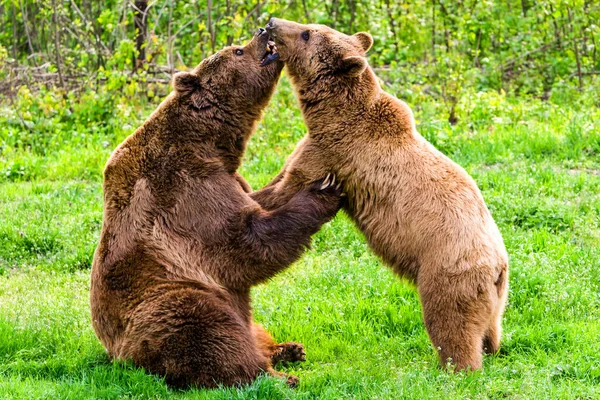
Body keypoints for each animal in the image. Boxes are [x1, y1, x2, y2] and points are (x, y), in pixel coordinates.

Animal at [89, 28, 342, 390]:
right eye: (236, 50)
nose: (261, 31)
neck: (209, 142)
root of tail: (118, 357)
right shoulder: (184, 189)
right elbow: (246, 240)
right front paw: (324, 189)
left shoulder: (229, 176)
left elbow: (261, 200)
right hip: (166, 300)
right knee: (209, 331)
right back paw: (277, 376)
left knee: (251, 329)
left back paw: (288, 349)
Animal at [252, 20, 506, 372]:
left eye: (306, 33)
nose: (272, 22)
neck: (330, 114)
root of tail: (499, 266)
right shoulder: (313, 143)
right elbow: (278, 179)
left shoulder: (333, 152)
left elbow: (287, 188)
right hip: (495, 300)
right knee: (491, 330)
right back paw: (491, 349)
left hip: (448, 271)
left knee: (450, 324)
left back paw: (456, 368)